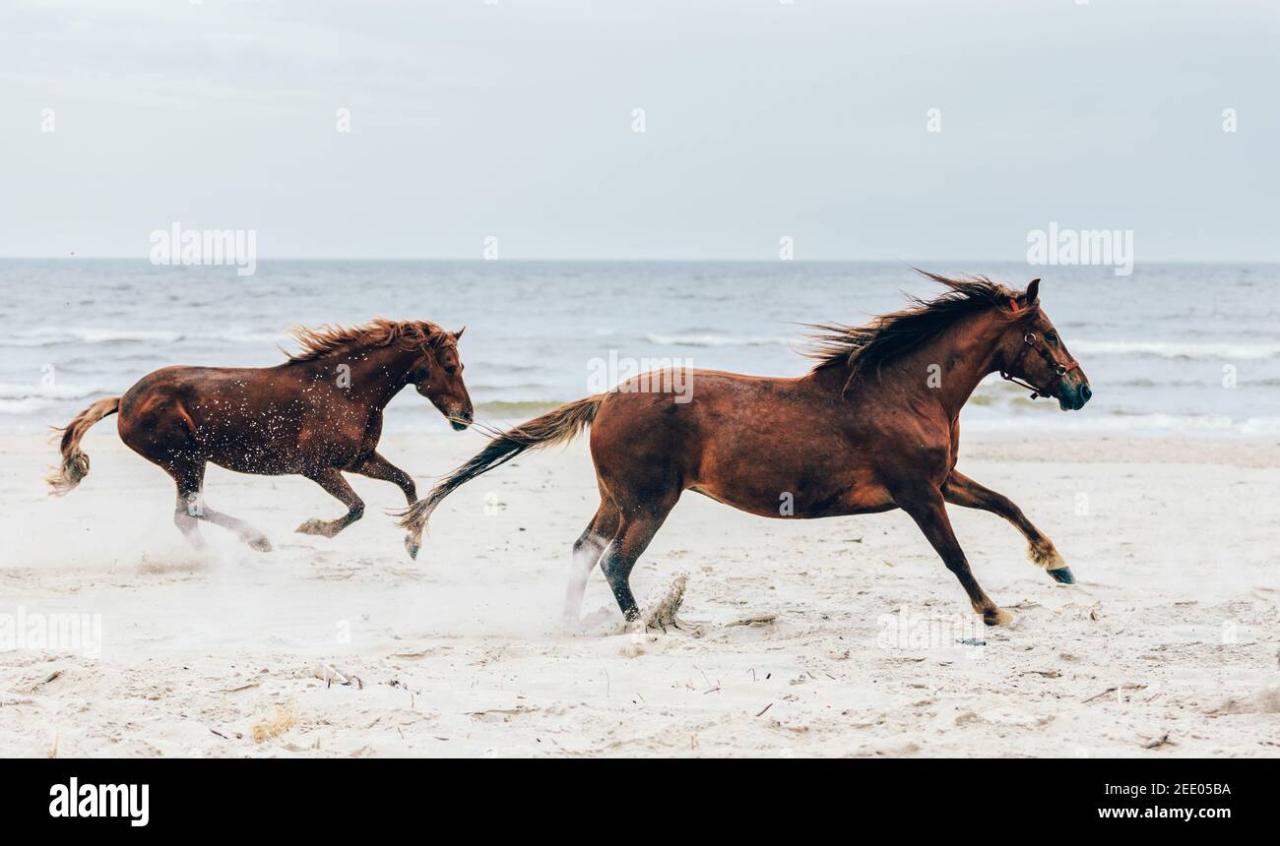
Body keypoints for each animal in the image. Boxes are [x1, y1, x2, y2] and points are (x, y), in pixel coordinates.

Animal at [49, 318, 472, 555]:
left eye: (461, 365)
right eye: (450, 366)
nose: (467, 416)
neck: (345, 390)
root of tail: (124, 401)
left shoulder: (358, 459)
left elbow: (407, 483)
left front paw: (413, 542)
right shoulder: (318, 467)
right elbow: (357, 507)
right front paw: (312, 528)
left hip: (187, 462)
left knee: (187, 515)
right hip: (186, 458)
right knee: (192, 511)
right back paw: (254, 542)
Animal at [400, 274, 1091, 627]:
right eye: (1049, 333)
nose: (1081, 390)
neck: (902, 390)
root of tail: (605, 397)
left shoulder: (943, 480)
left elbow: (1007, 504)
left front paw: (1058, 565)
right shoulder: (918, 493)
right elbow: (954, 555)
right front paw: (994, 612)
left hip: (616, 499)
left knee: (585, 551)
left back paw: (572, 624)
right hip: (650, 502)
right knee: (616, 561)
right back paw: (645, 625)